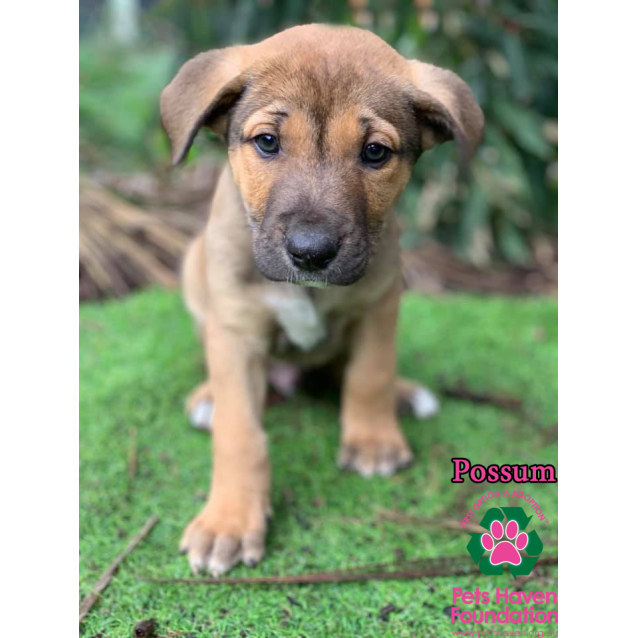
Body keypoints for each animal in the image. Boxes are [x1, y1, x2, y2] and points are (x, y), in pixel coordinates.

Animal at [161, 25, 484, 576]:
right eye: (267, 142)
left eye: (375, 153)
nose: (311, 253)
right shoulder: (235, 331)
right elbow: (239, 432)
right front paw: (230, 521)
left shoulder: (380, 302)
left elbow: (370, 374)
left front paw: (373, 439)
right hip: (194, 270)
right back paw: (206, 399)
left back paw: (403, 394)